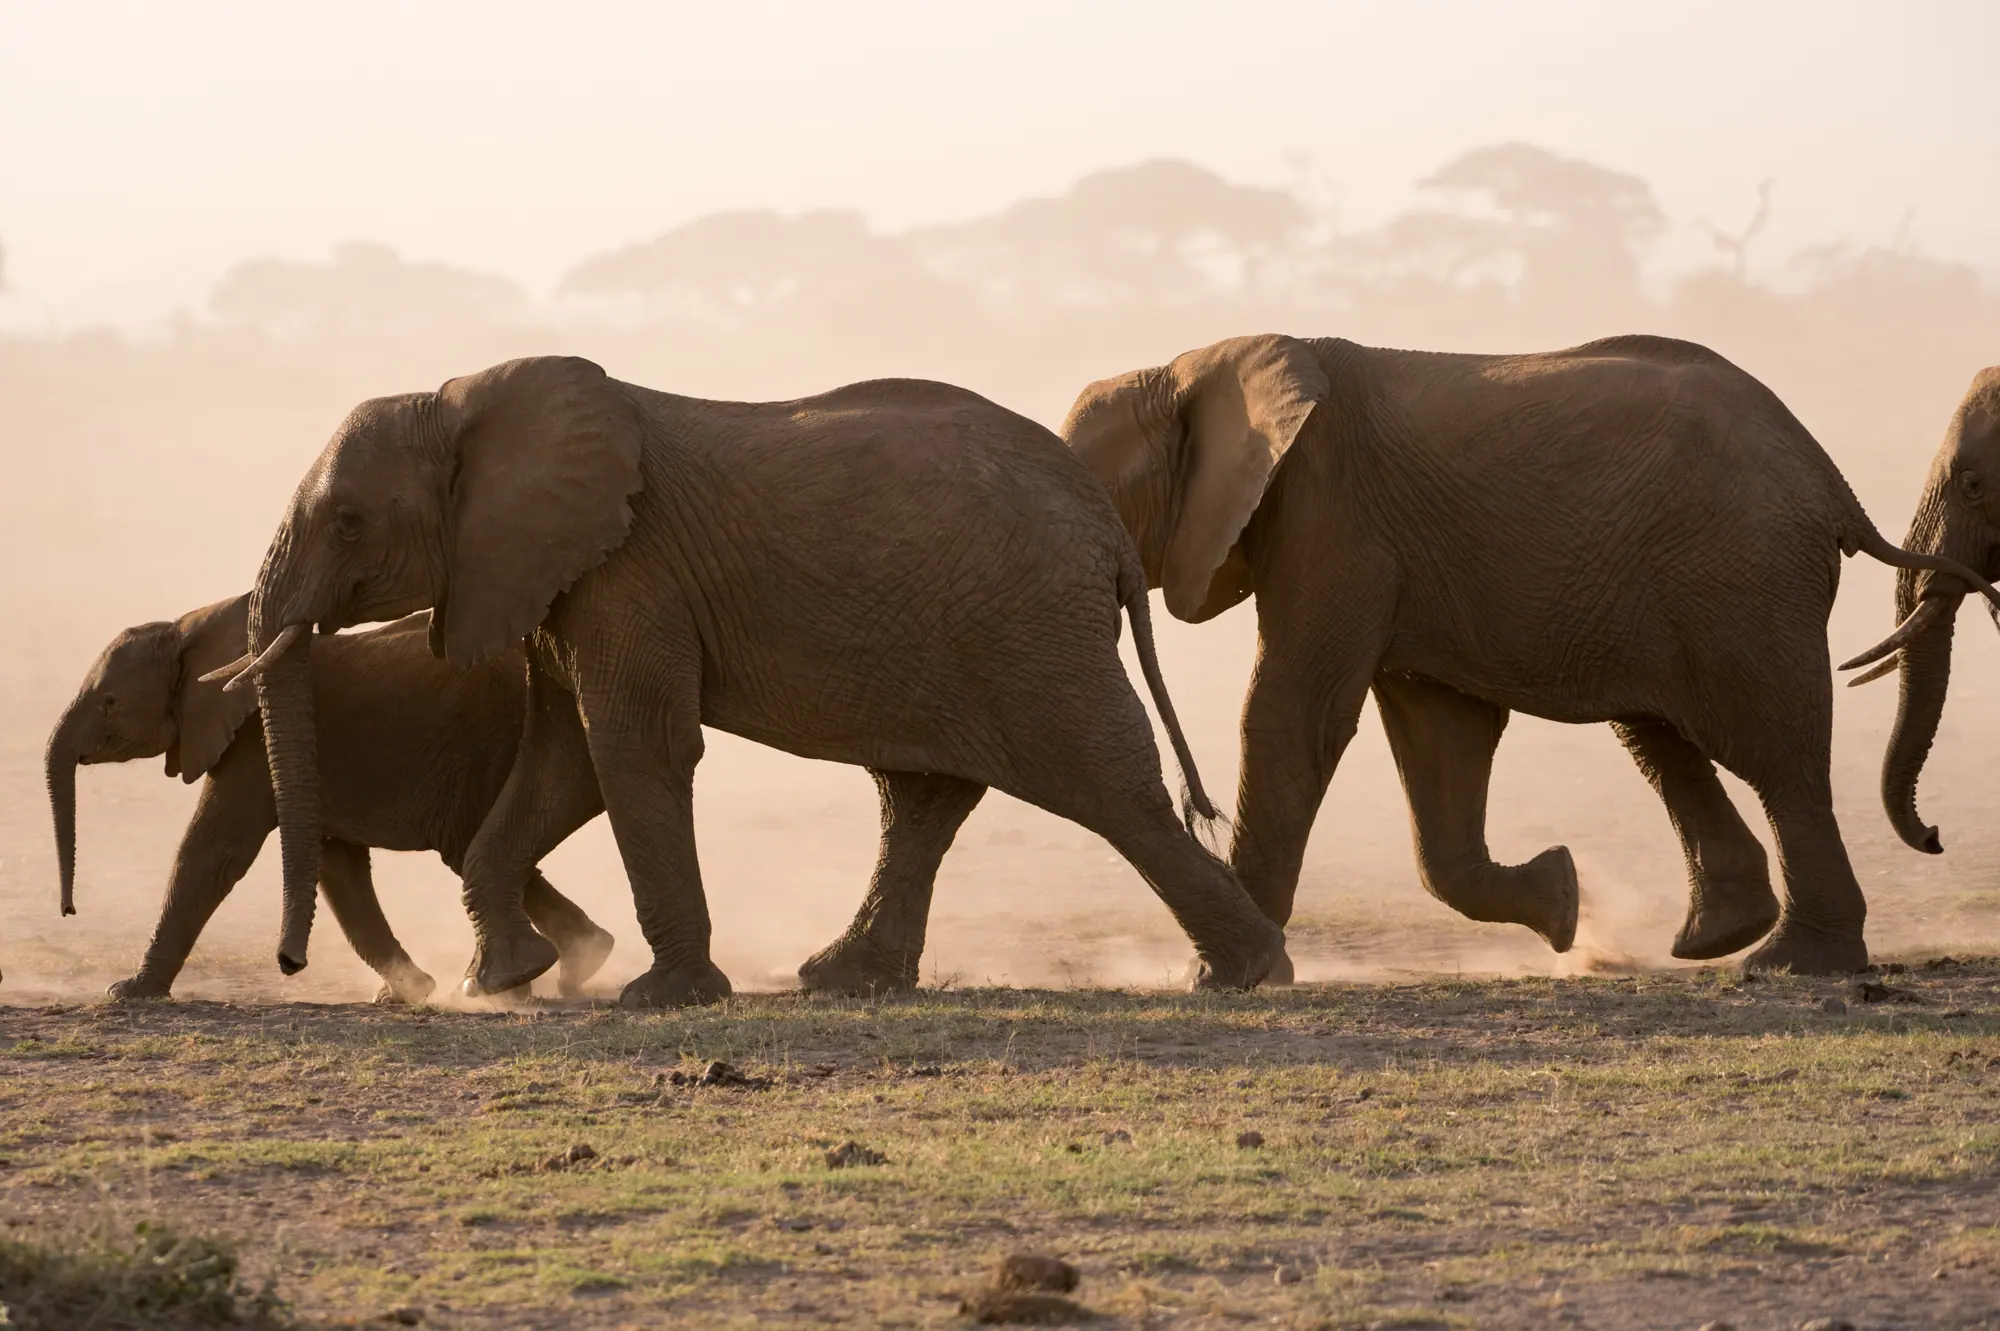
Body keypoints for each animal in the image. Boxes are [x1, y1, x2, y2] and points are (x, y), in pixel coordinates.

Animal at [44, 593, 616, 1001]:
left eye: (109, 703)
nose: (68, 910)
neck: (192, 625)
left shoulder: (251, 740)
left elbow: (213, 851)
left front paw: (127, 993)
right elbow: (337, 868)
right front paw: (406, 993)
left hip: (491, 739)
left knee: (466, 843)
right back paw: (580, 961)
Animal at [216, 355, 1284, 1006]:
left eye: (349, 522)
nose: (287, 961)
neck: (464, 399)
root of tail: (1106, 525)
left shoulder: (625, 571)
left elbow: (630, 747)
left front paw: (661, 998)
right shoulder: (561, 580)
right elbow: (565, 759)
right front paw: (510, 980)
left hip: (1033, 628)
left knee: (1110, 789)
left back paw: (1245, 974)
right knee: (922, 797)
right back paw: (843, 979)